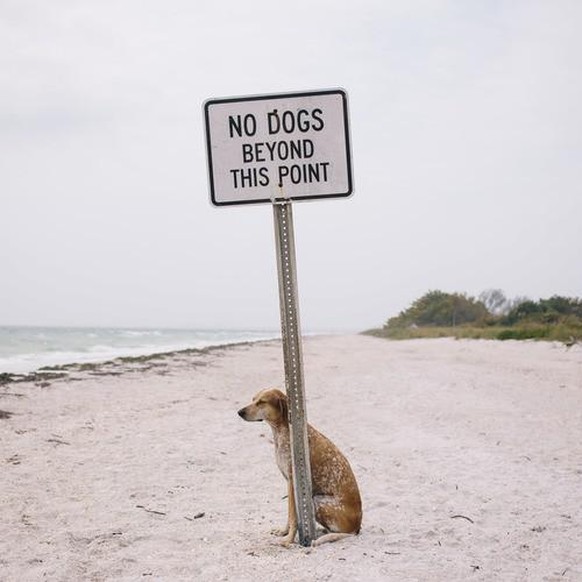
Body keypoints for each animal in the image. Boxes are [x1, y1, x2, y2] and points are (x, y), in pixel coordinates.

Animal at [237, 388, 360, 548]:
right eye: (253, 399)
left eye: (261, 402)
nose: (239, 412)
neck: (282, 431)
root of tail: (358, 525)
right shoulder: (288, 482)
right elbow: (289, 515)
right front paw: (284, 532)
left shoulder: (292, 481)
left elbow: (293, 517)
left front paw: (288, 540)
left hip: (318, 501)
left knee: (346, 533)